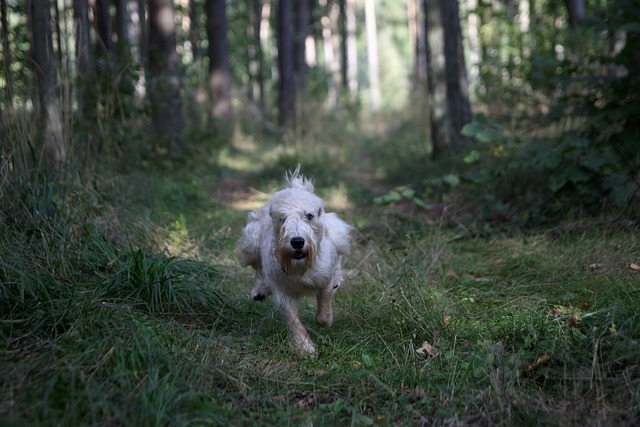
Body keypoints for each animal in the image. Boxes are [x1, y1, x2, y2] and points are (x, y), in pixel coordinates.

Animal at [239, 166, 352, 356]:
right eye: (281, 218)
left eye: (309, 216)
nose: (297, 242)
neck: (300, 266)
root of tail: (295, 187)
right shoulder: (283, 292)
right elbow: (293, 319)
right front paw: (305, 346)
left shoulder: (324, 280)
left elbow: (324, 306)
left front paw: (325, 319)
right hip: (251, 243)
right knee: (258, 268)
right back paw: (260, 289)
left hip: (338, 234)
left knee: (339, 257)